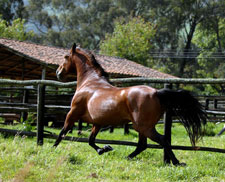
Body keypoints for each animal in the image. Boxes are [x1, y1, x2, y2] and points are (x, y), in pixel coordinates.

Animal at [53, 43, 207, 166]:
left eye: (66, 57)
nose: (58, 72)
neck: (90, 82)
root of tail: (157, 93)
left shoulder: (72, 113)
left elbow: (62, 132)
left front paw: (53, 149)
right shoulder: (97, 122)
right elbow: (91, 140)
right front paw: (104, 149)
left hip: (143, 126)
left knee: (161, 140)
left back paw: (176, 162)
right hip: (142, 127)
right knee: (143, 145)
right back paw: (129, 157)